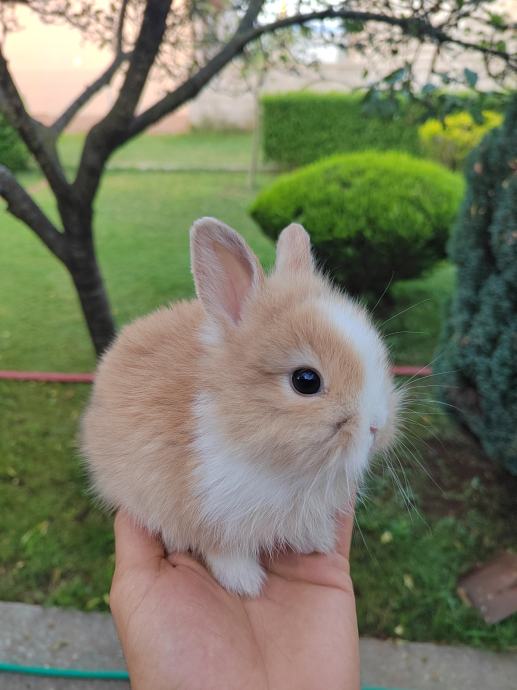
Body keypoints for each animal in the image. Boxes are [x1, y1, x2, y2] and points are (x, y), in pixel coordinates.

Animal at [81, 217, 400, 597]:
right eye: (306, 381)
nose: (376, 426)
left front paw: (317, 541)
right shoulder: (206, 516)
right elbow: (223, 551)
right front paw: (246, 583)